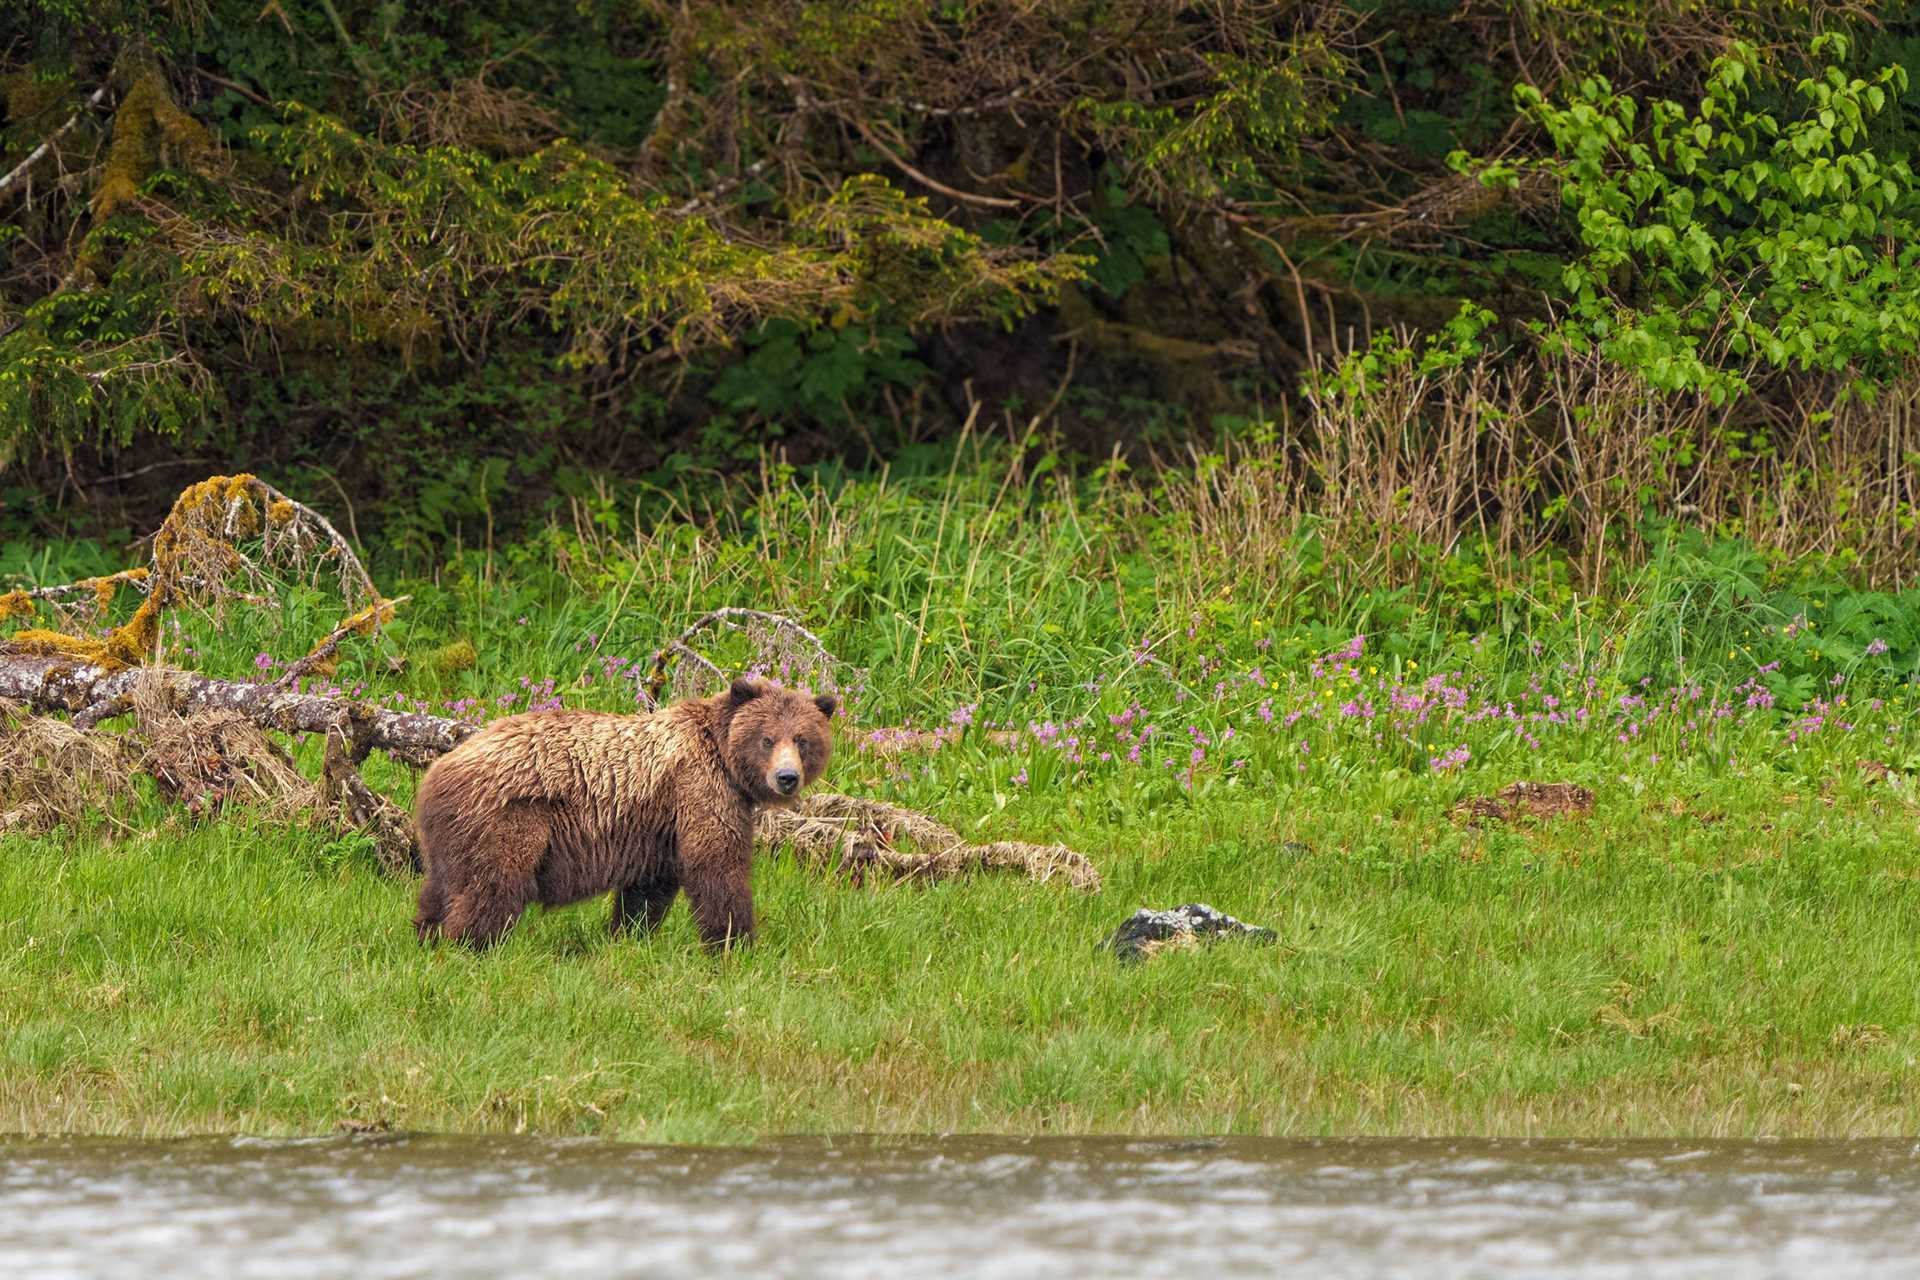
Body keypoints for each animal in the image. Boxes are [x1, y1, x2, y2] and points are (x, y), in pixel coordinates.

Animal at [412, 679, 833, 951]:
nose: (787, 778)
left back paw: (427, 935)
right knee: (493, 884)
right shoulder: (698, 788)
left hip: (452, 835)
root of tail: (437, 772)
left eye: (802, 740)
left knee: (442, 885)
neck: (723, 757)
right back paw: (470, 944)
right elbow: (716, 863)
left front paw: (630, 935)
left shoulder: (659, 827)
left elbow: (649, 888)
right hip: (509, 818)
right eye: (767, 739)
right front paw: (735, 941)